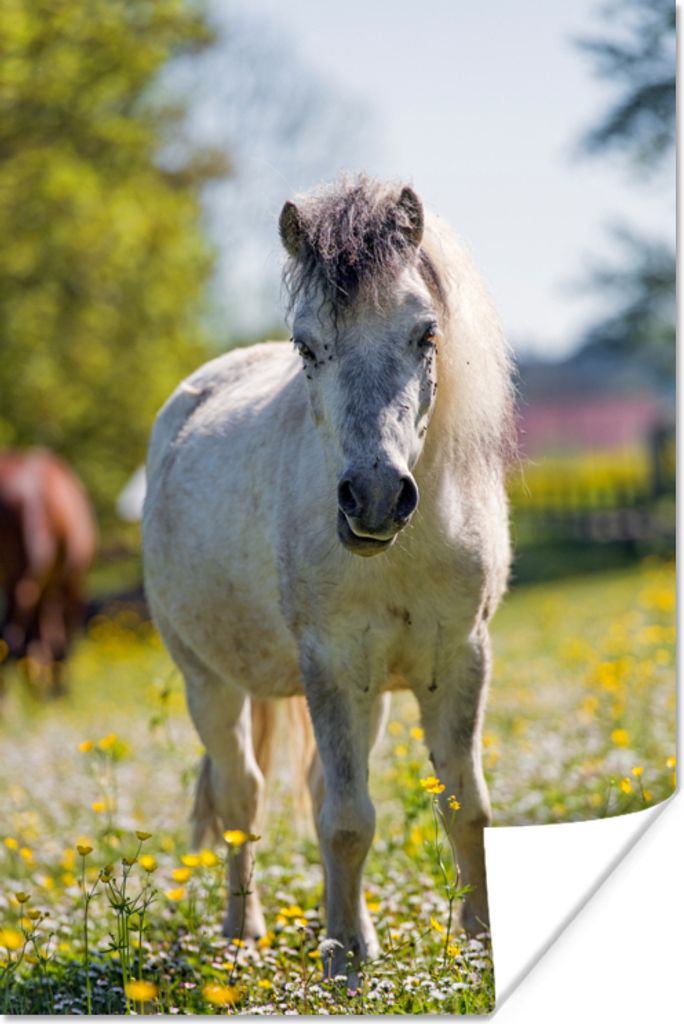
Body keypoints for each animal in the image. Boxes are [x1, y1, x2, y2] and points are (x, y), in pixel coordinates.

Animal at [142, 176, 515, 979]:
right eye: (306, 346)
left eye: (426, 334)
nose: (373, 497)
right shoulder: (332, 668)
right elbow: (347, 820)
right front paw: (343, 961)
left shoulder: (460, 660)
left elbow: (464, 805)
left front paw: (479, 946)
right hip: (209, 683)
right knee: (241, 798)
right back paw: (243, 934)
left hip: (370, 695)